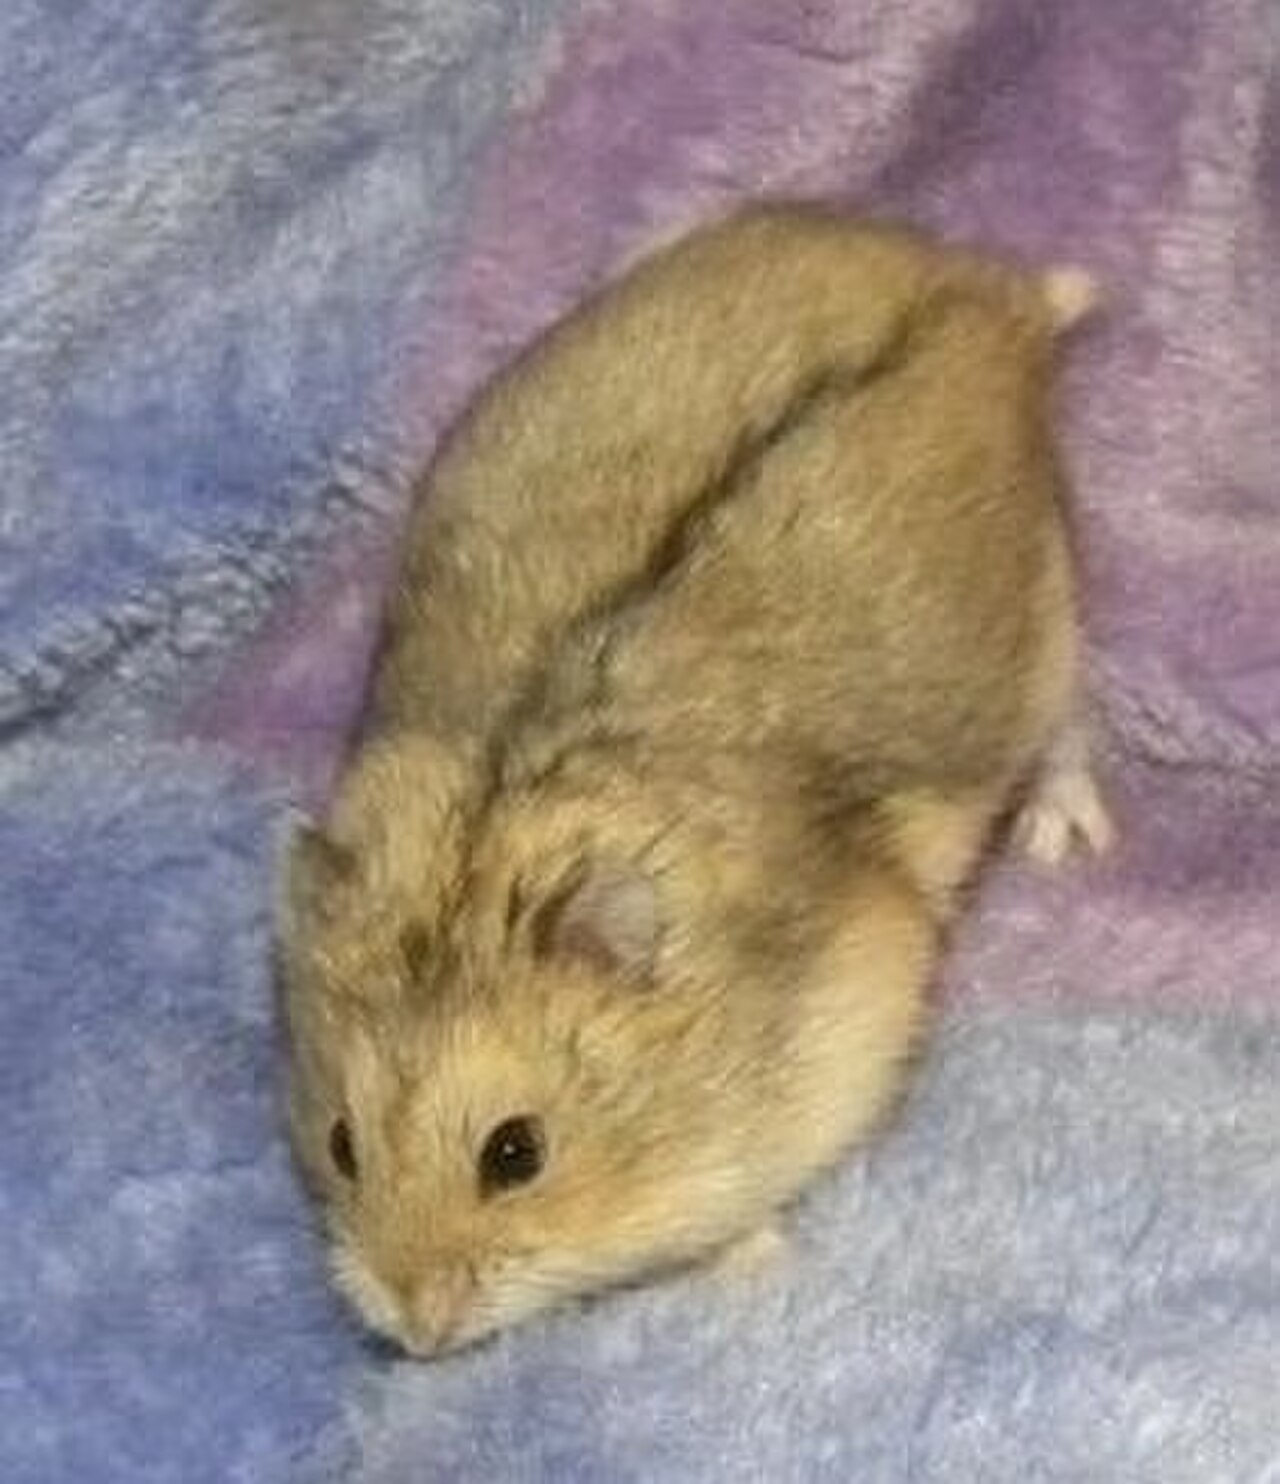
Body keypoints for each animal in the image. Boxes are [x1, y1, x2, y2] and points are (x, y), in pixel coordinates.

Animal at [277, 205, 1111, 1359]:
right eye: (341, 1143)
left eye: (515, 1153)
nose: (416, 1333)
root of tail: (985, 298)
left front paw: (753, 1267)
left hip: (1048, 629)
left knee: (1069, 732)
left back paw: (1058, 838)